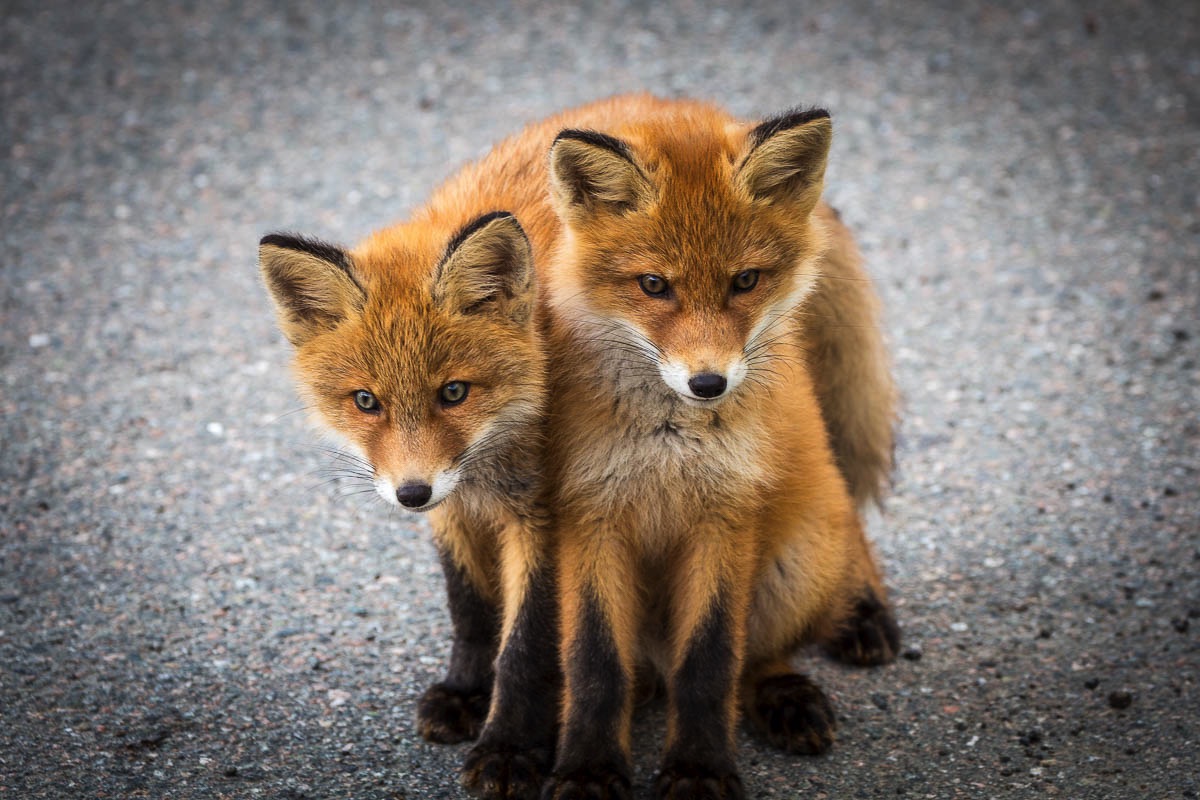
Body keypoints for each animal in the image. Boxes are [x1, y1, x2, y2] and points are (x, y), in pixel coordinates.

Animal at [535, 97, 902, 796]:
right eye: (654, 285)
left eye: (746, 281)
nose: (708, 383)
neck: (668, 448)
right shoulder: (591, 515)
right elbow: (595, 665)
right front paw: (589, 769)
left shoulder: (727, 515)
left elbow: (709, 662)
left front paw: (699, 769)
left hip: (792, 566)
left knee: (759, 655)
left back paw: (789, 692)